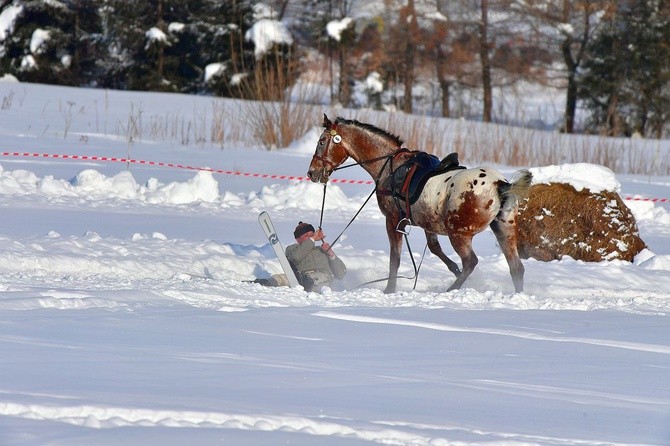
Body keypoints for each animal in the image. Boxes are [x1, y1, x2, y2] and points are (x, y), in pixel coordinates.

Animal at [310, 115, 536, 294]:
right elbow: (435, 248)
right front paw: (452, 268)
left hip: (459, 233)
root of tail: (500, 184)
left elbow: (395, 259)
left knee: (471, 262)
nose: (312, 172)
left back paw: (451, 290)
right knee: (516, 268)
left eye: (322, 141)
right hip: (504, 230)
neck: (389, 166)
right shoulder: (428, 224)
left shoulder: (393, 221)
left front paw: (389, 289)